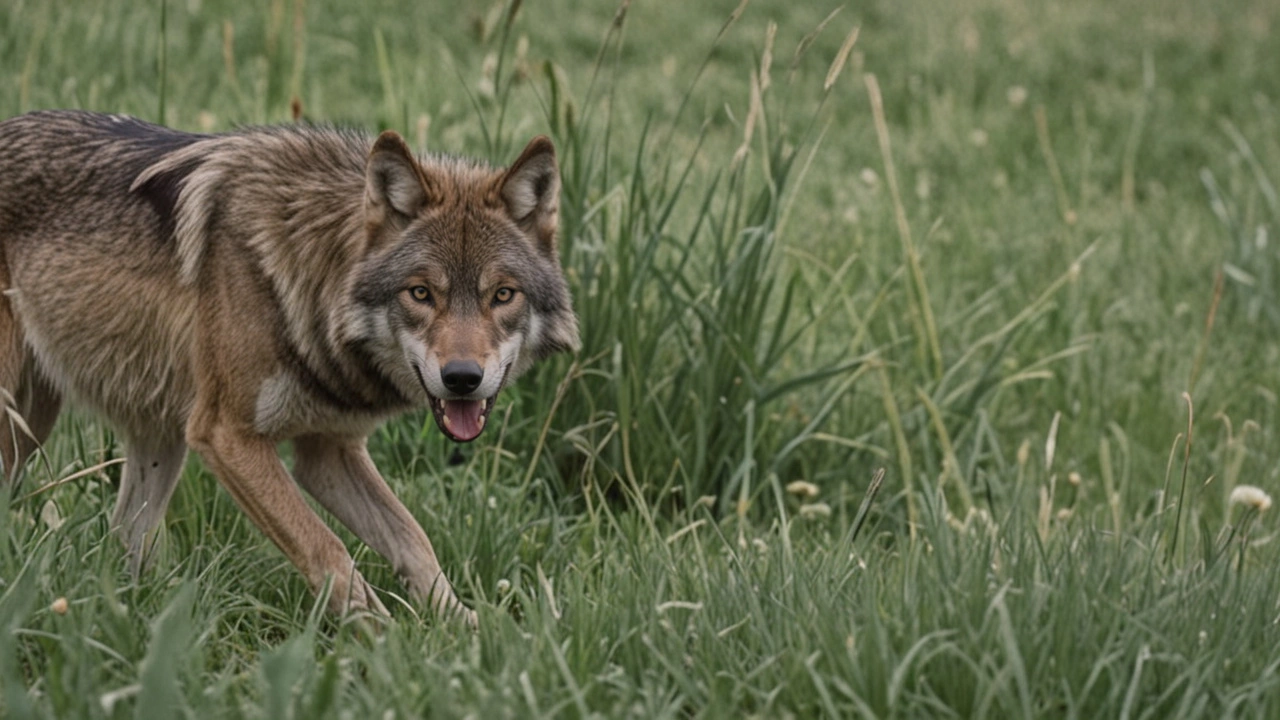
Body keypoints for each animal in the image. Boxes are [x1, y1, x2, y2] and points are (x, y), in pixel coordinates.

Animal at [0, 110, 581, 622]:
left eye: (502, 295)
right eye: (420, 293)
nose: (463, 378)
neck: (305, 271)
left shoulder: (328, 451)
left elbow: (415, 541)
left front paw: (467, 637)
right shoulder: (226, 437)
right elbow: (330, 554)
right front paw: (378, 644)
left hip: (140, 437)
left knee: (123, 540)